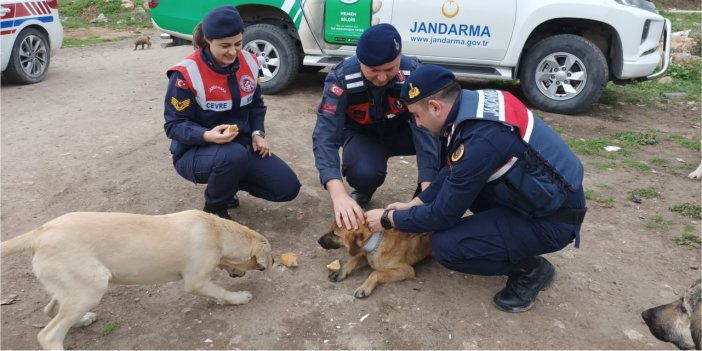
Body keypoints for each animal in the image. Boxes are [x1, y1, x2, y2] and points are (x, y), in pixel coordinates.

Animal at [0, 210, 272, 350]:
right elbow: (220, 291)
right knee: (49, 335)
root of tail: (39, 233)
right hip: (92, 287)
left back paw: (83, 320)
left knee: (51, 310)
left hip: (76, 286)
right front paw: (238, 298)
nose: (246, 273)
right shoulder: (195, 281)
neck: (216, 230)